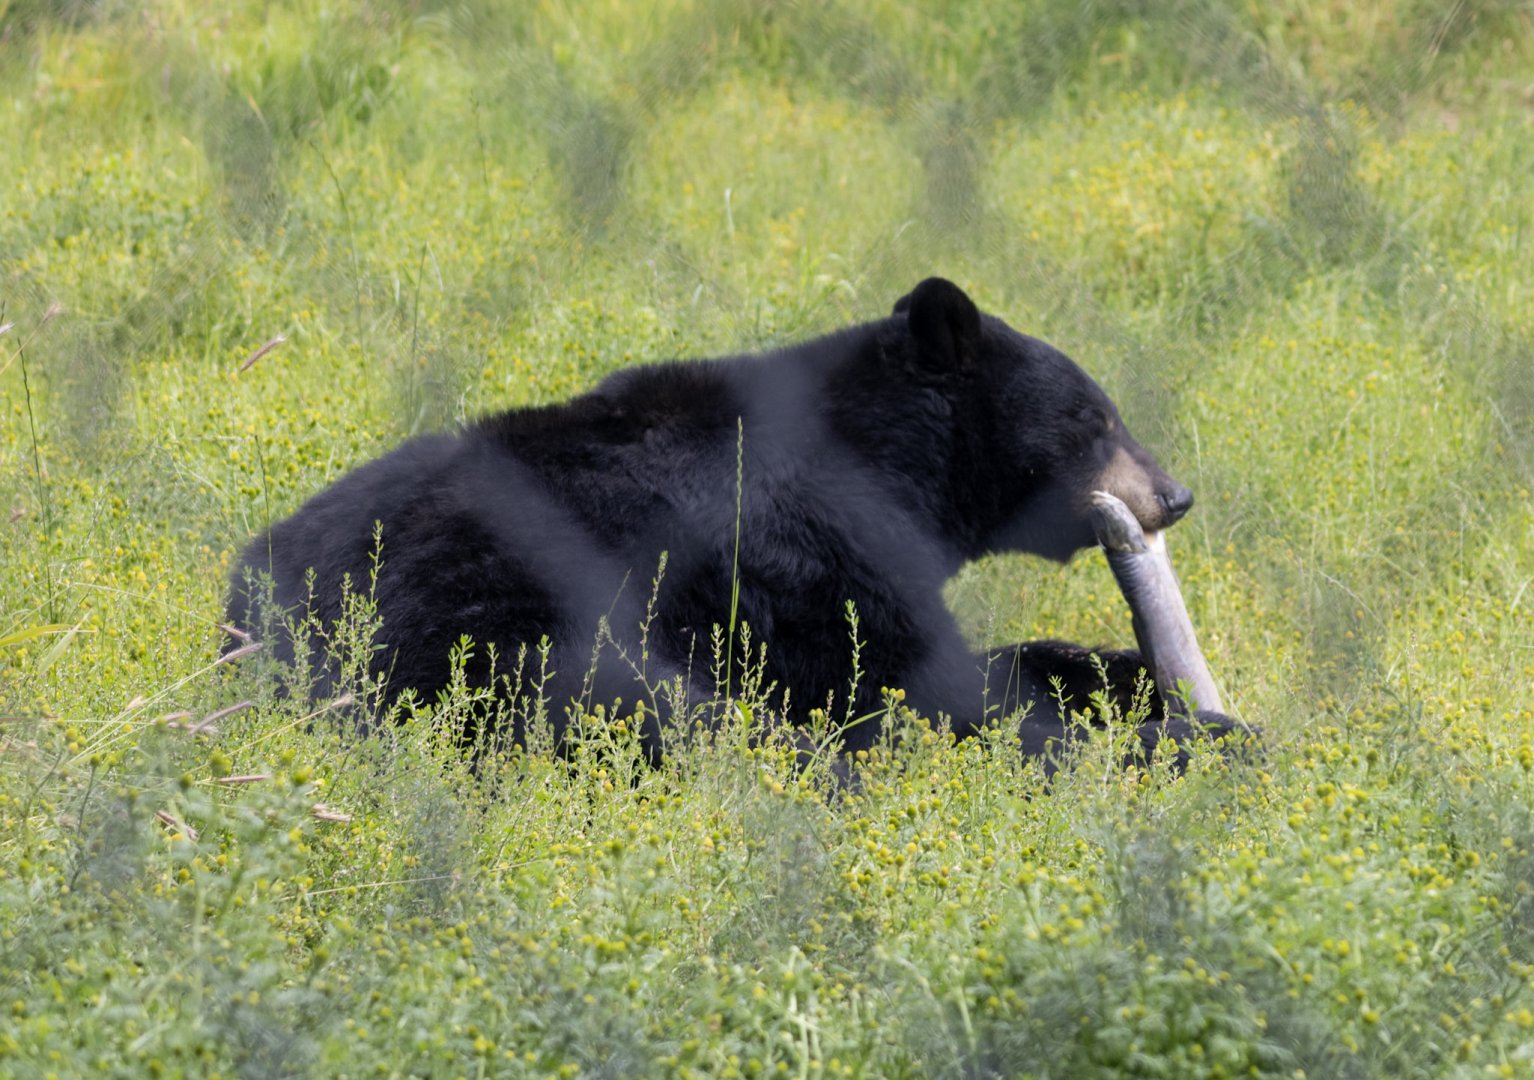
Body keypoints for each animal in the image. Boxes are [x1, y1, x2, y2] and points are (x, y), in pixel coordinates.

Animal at [228, 278, 1233, 764]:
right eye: (1095, 419)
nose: (1174, 493)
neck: (888, 462)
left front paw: (1128, 677)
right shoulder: (814, 555)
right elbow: (925, 686)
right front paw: (1191, 735)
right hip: (488, 622)